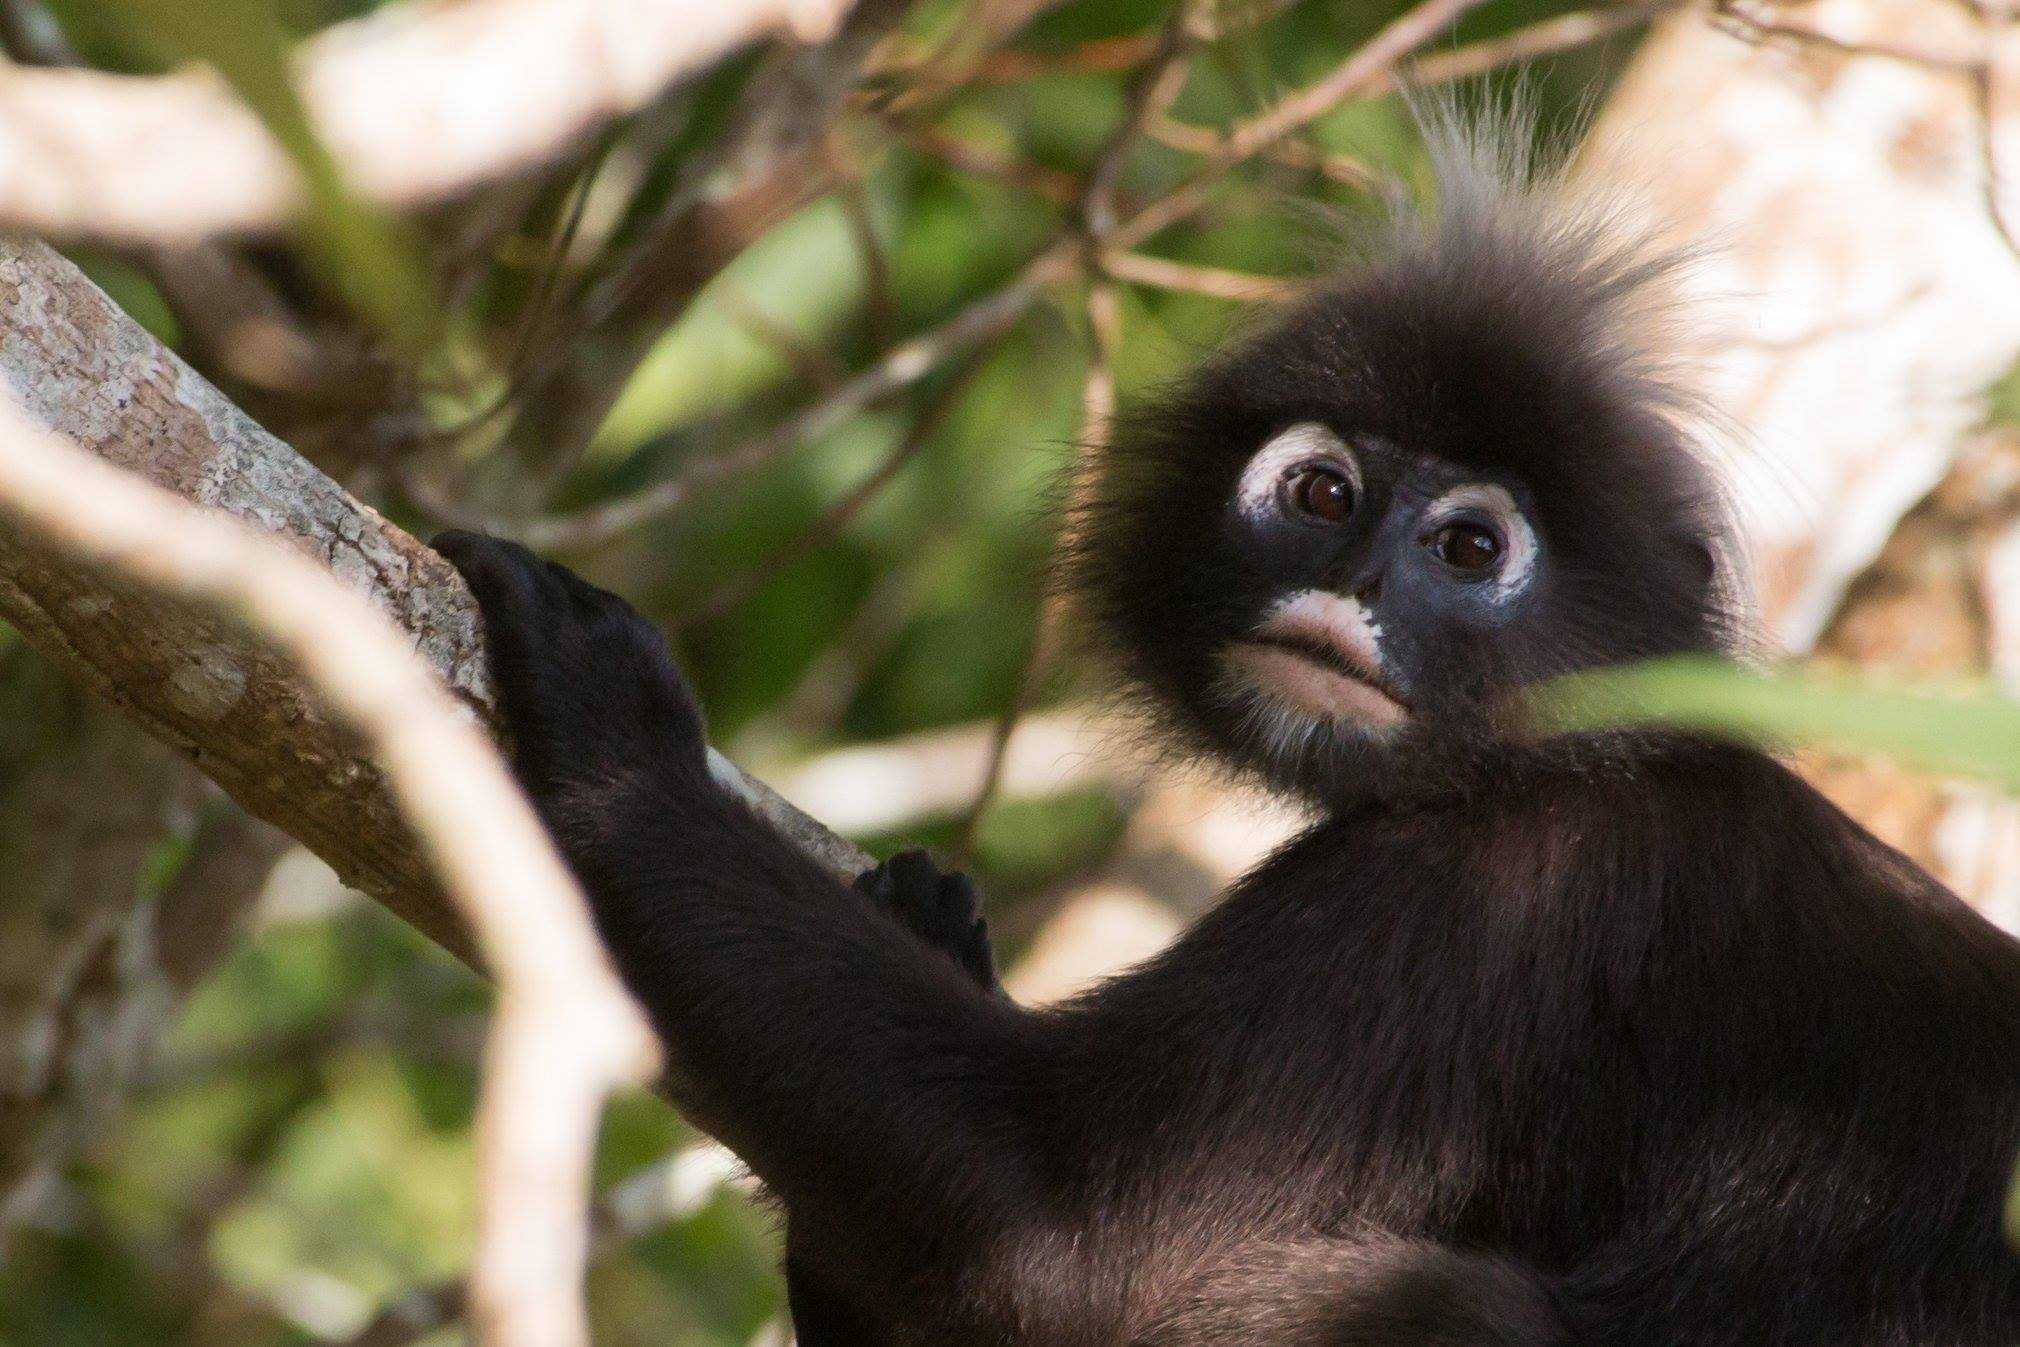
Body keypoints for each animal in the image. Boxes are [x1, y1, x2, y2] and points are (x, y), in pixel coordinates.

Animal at [433, 104, 2020, 1345]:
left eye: (1468, 548)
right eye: (1321, 494)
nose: (1353, 585)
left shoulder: (1517, 883)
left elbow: (1061, 1236)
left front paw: (619, 745)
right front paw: (937, 925)